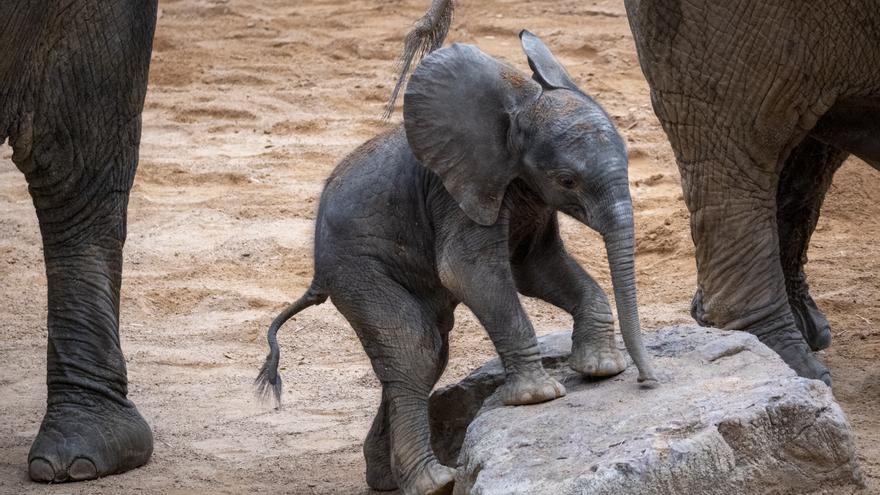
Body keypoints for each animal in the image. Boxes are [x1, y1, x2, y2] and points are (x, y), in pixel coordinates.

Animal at [258, 30, 656, 495]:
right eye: (567, 181)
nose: (647, 381)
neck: (519, 107)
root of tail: (317, 273)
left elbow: (535, 265)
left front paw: (600, 370)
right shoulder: (455, 192)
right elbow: (468, 270)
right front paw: (539, 397)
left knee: (425, 357)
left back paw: (386, 480)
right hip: (357, 270)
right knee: (416, 349)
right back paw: (434, 482)